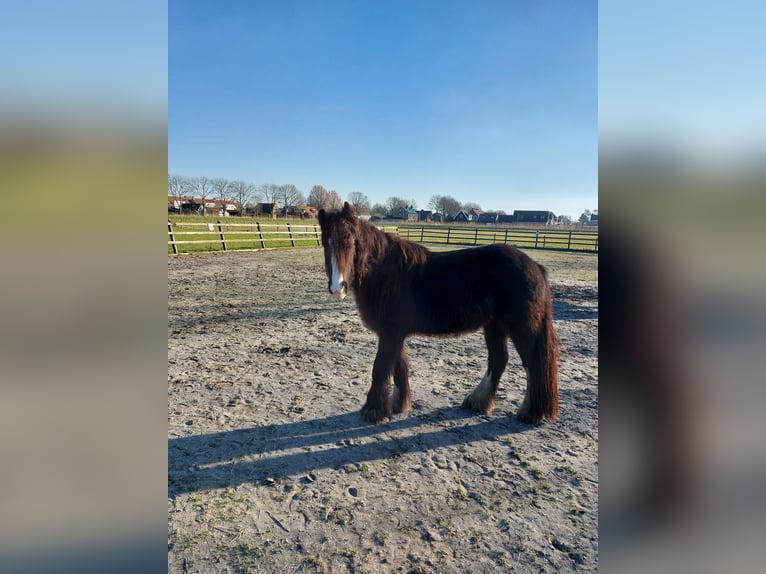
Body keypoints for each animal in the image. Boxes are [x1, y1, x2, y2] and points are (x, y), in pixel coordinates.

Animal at [316, 201, 560, 424]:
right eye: (325, 243)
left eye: (351, 240)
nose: (337, 287)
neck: (386, 273)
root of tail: (535, 266)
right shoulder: (395, 334)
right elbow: (399, 367)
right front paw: (399, 405)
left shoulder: (391, 333)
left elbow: (381, 367)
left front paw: (373, 411)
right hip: (494, 325)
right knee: (499, 360)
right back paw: (478, 401)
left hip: (522, 326)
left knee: (534, 363)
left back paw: (531, 412)